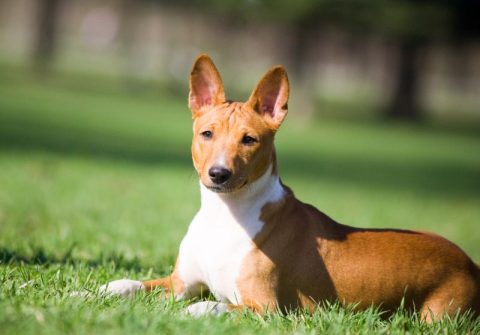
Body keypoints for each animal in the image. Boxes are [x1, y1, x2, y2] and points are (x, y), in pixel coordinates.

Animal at [99, 53, 478, 322]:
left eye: (249, 140)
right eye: (207, 133)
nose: (219, 173)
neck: (224, 216)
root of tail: (471, 264)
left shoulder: (266, 307)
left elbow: (213, 306)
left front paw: (193, 312)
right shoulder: (181, 284)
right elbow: (132, 285)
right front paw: (99, 290)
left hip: (436, 316)